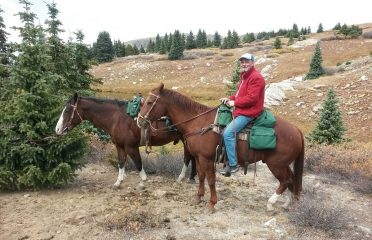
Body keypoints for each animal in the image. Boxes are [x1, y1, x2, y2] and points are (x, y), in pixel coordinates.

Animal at [54, 93, 198, 187]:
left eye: (67, 111)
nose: (57, 129)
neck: (116, 118)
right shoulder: (120, 146)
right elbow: (121, 162)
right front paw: (118, 182)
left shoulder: (131, 146)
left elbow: (138, 163)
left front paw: (143, 181)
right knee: (192, 158)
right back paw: (192, 178)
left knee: (187, 158)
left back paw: (181, 178)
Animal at [138, 84, 304, 210]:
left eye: (149, 102)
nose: (139, 121)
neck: (198, 123)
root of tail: (296, 129)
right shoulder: (198, 158)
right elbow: (201, 176)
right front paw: (199, 197)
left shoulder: (207, 158)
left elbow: (211, 179)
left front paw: (212, 203)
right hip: (283, 164)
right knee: (292, 180)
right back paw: (288, 203)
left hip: (276, 165)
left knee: (286, 181)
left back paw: (271, 203)